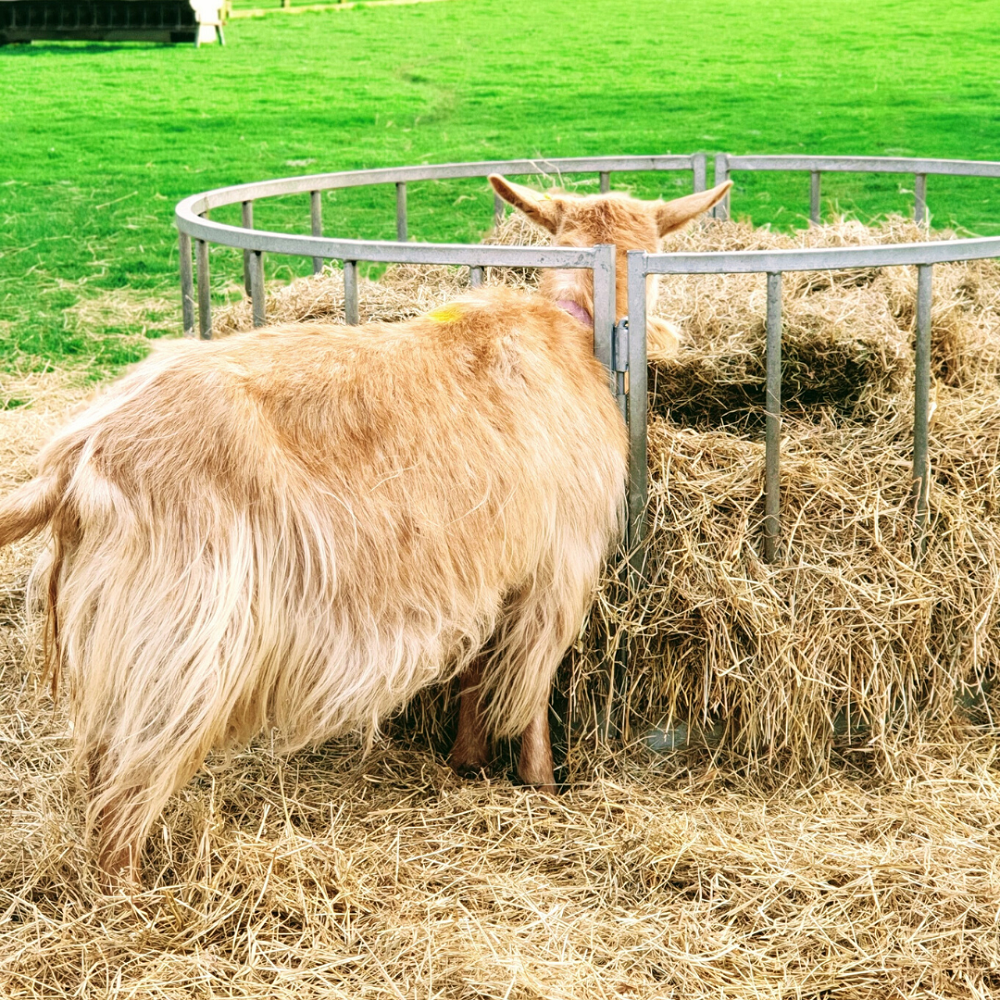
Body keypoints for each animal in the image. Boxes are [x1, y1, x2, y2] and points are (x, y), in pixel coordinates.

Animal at [0, 175, 729, 883]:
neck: (572, 328)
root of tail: (79, 455)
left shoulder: (486, 567)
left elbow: (474, 671)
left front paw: (465, 762)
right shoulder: (558, 567)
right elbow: (530, 689)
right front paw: (542, 783)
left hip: (119, 640)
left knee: (101, 766)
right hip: (186, 637)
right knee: (124, 796)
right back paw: (133, 896)